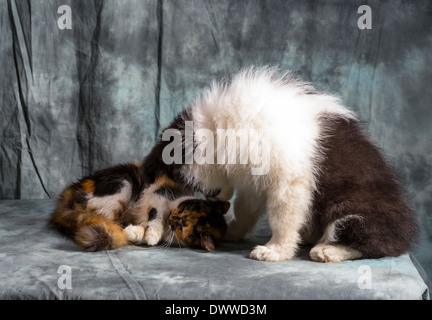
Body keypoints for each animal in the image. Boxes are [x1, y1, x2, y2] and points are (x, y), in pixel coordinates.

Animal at [49, 164, 230, 251]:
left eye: (182, 227)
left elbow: (142, 230)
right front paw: (151, 233)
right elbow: (155, 216)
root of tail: (71, 191)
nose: (172, 218)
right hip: (123, 184)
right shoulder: (160, 194)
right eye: (185, 208)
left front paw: (135, 232)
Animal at [140, 67, 416, 262]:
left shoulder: (289, 180)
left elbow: (282, 217)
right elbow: (245, 209)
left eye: (184, 179)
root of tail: (406, 233)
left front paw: (275, 251)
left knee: (377, 244)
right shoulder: (253, 178)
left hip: (353, 209)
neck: (220, 130)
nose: (214, 200)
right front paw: (231, 231)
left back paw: (328, 250)